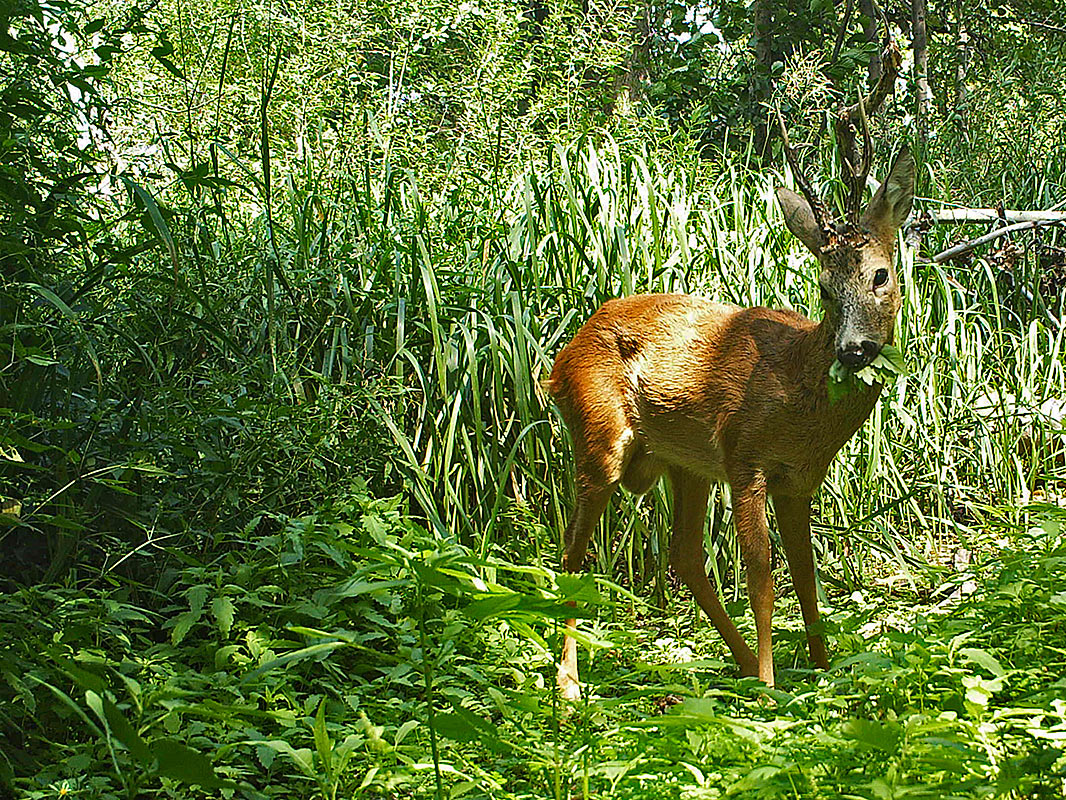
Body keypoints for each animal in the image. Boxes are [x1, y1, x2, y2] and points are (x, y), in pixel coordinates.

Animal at [550, 72, 916, 695]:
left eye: (880, 275)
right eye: (822, 286)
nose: (854, 349)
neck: (799, 388)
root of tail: (560, 358)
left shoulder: (799, 479)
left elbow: (807, 574)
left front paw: (821, 670)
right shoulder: (746, 457)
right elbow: (762, 574)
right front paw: (772, 687)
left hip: (685, 462)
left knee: (683, 553)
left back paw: (740, 663)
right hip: (600, 434)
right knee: (573, 552)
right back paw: (569, 684)